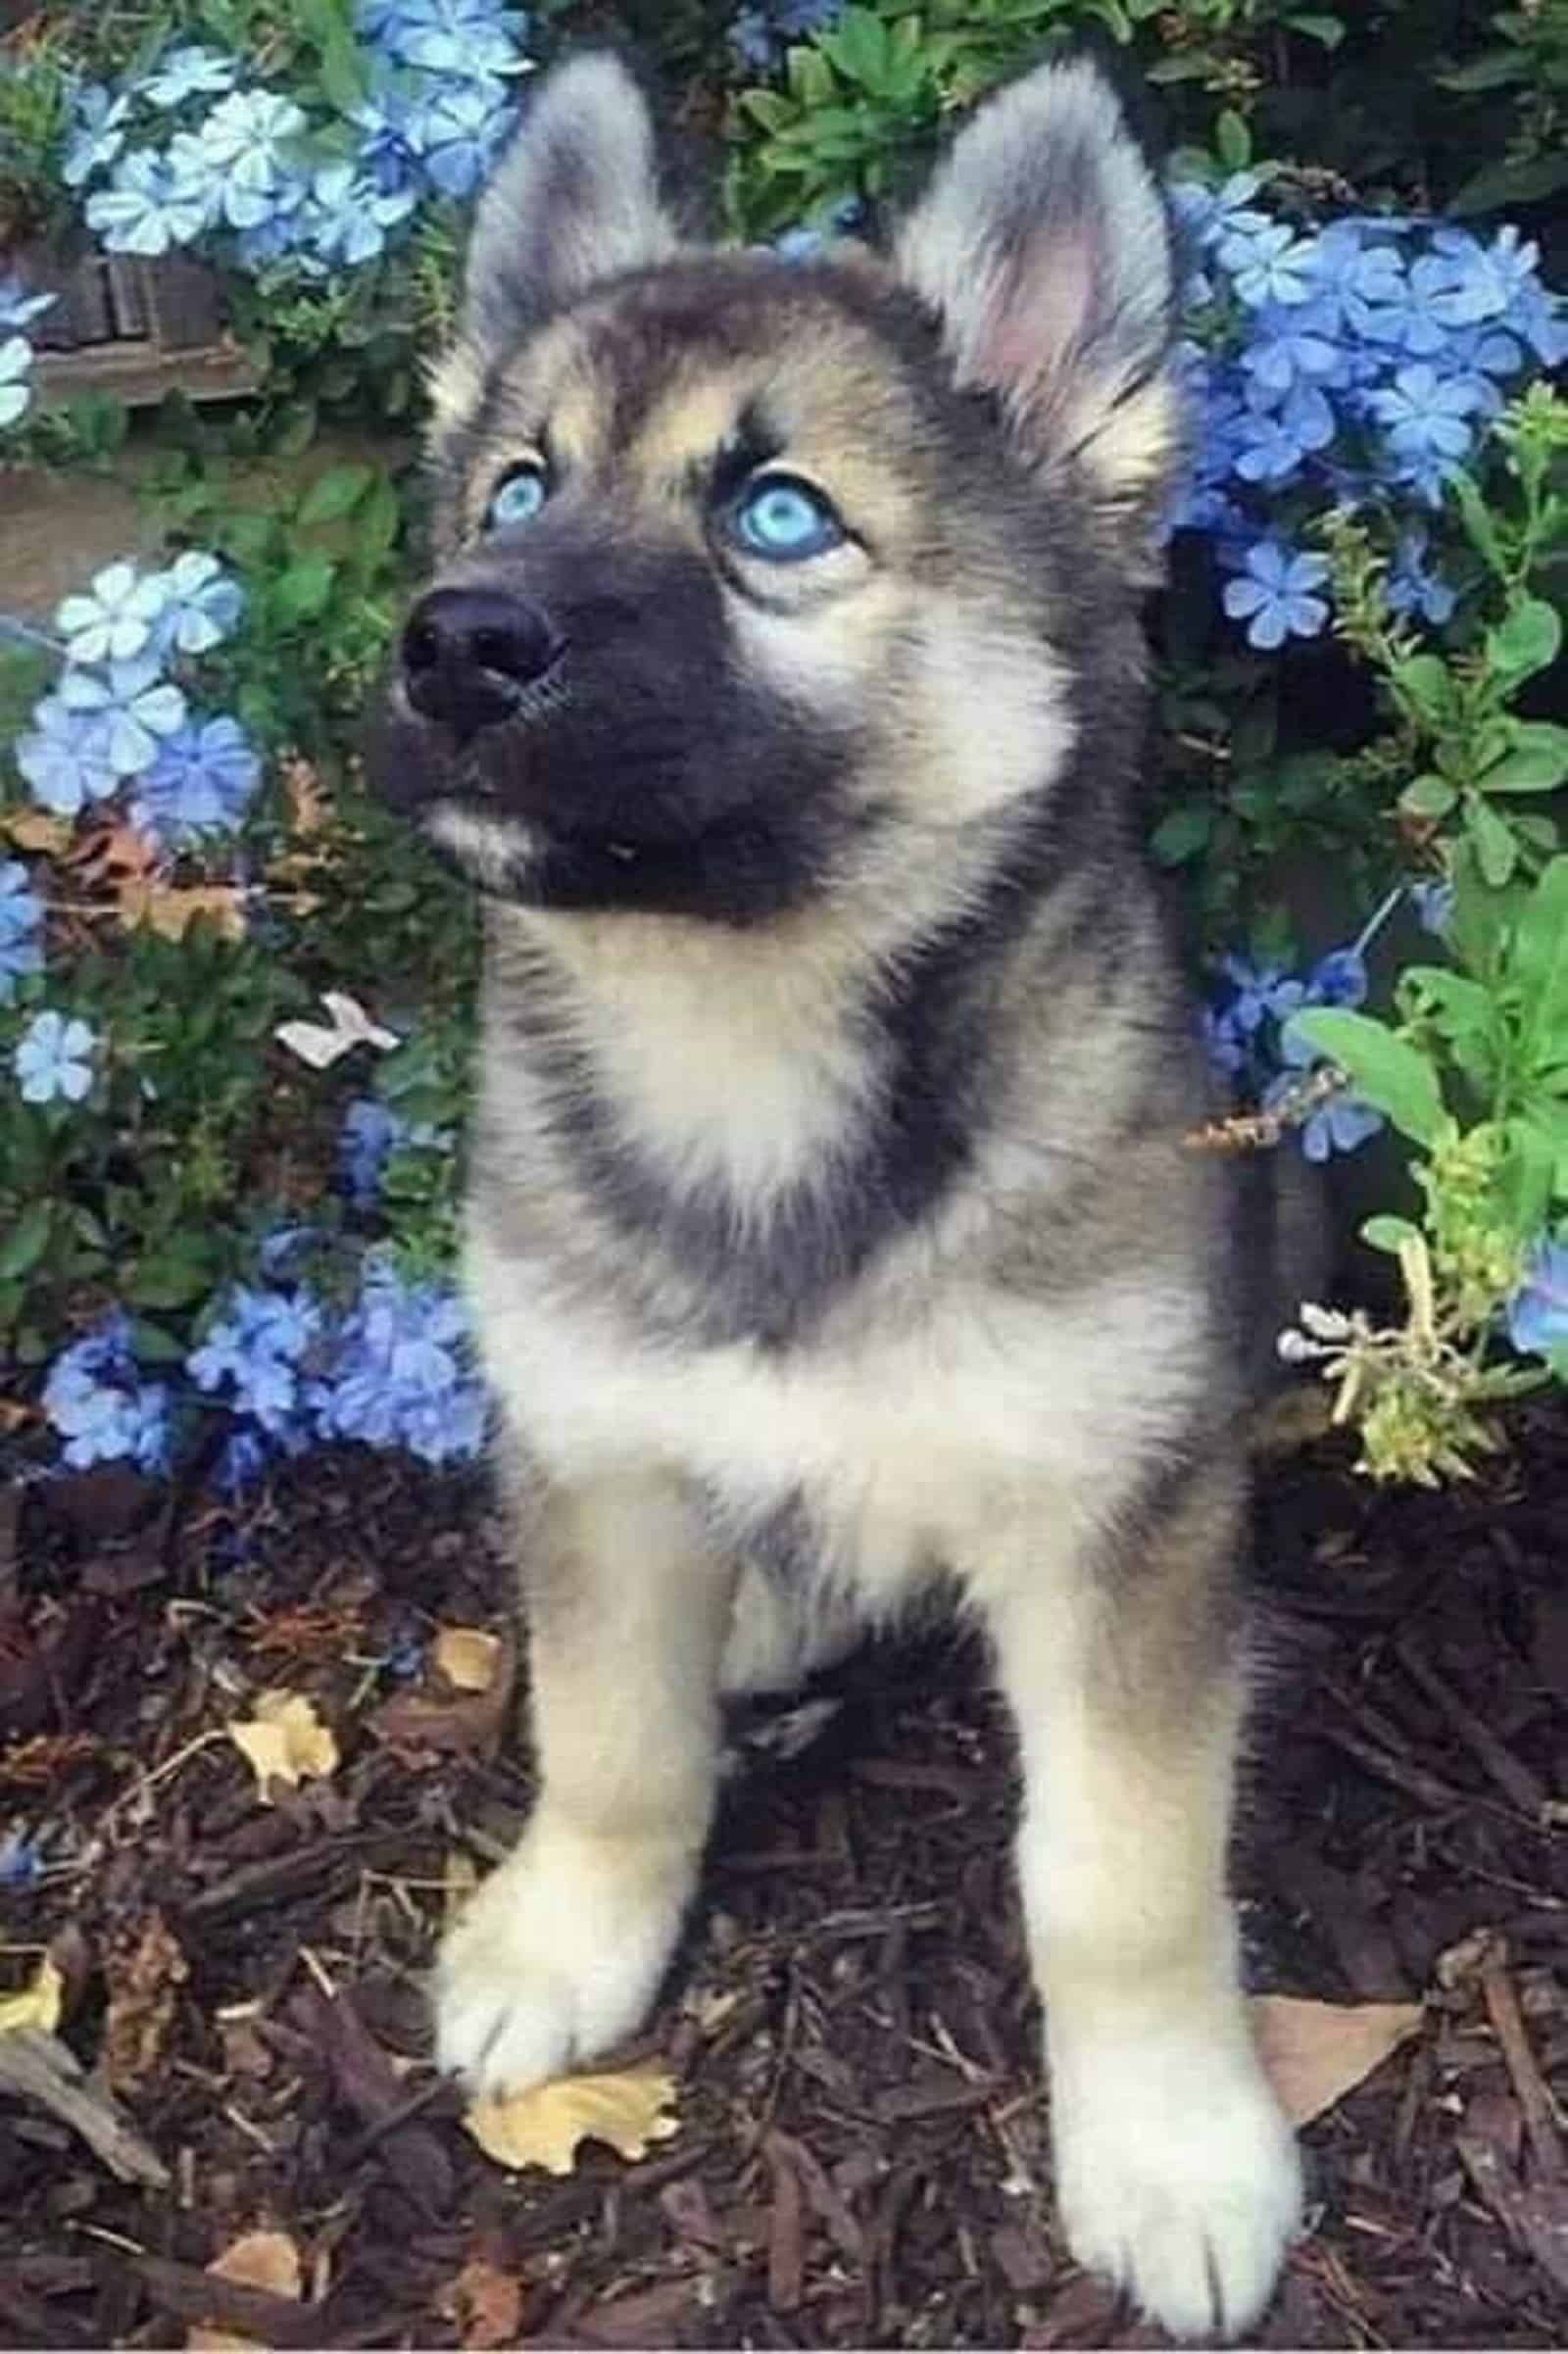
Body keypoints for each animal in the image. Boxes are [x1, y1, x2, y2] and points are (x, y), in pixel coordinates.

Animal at [371, 50, 1299, 2334]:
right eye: (512, 490)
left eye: (776, 516)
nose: (453, 642)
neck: (750, 1062)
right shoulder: (599, 1454)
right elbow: (608, 1740)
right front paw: (566, 1937)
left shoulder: (1118, 1524)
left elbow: (1118, 1874)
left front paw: (1169, 2138)